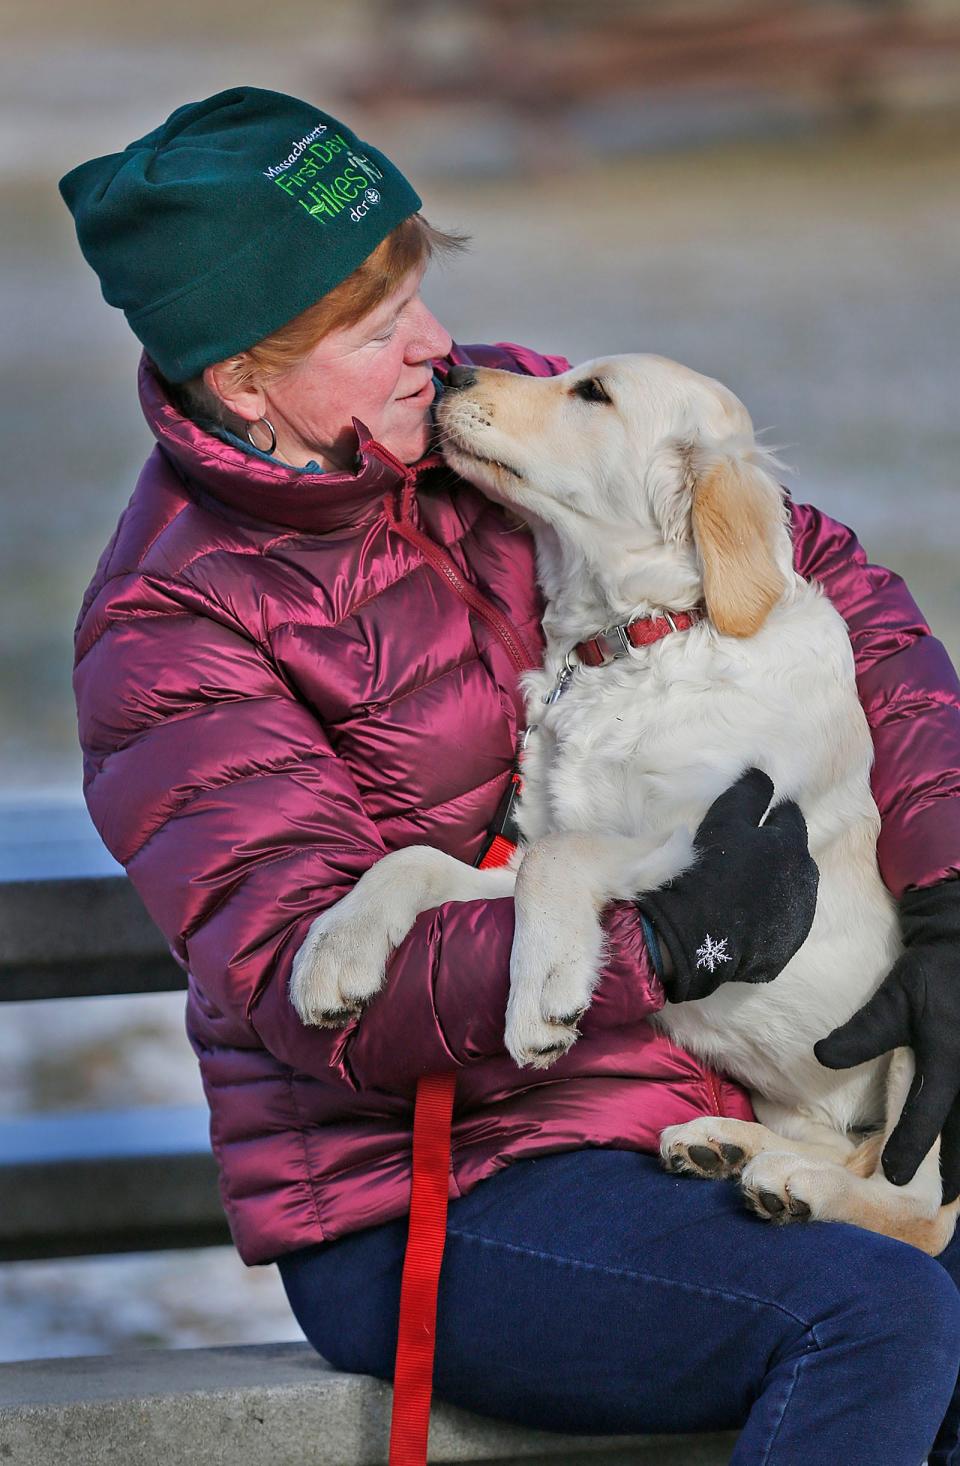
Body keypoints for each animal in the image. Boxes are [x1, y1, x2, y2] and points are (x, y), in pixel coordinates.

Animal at [293, 354, 960, 1260]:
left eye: (593, 394)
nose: (450, 371)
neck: (646, 635)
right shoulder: (569, 841)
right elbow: (422, 860)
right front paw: (337, 951)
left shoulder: (711, 832)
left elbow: (557, 861)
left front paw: (542, 992)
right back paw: (727, 1146)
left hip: (922, 1057)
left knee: (916, 1207)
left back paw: (794, 1186)